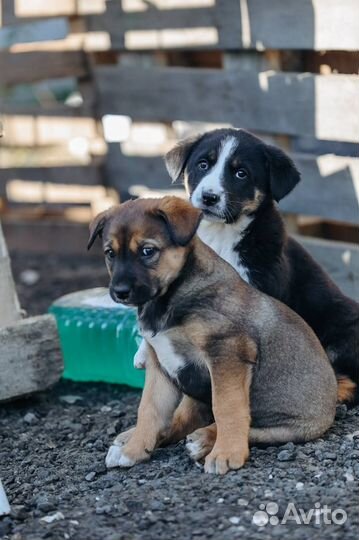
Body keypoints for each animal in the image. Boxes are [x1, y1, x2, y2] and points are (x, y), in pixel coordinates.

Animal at [88, 196, 338, 474]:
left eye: (147, 251)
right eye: (110, 253)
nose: (120, 292)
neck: (170, 297)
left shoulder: (227, 353)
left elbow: (227, 407)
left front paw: (226, 453)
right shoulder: (160, 364)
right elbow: (150, 410)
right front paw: (134, 449)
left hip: (291, 426)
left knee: (251, 428)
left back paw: (205, 439)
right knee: (181, 419)